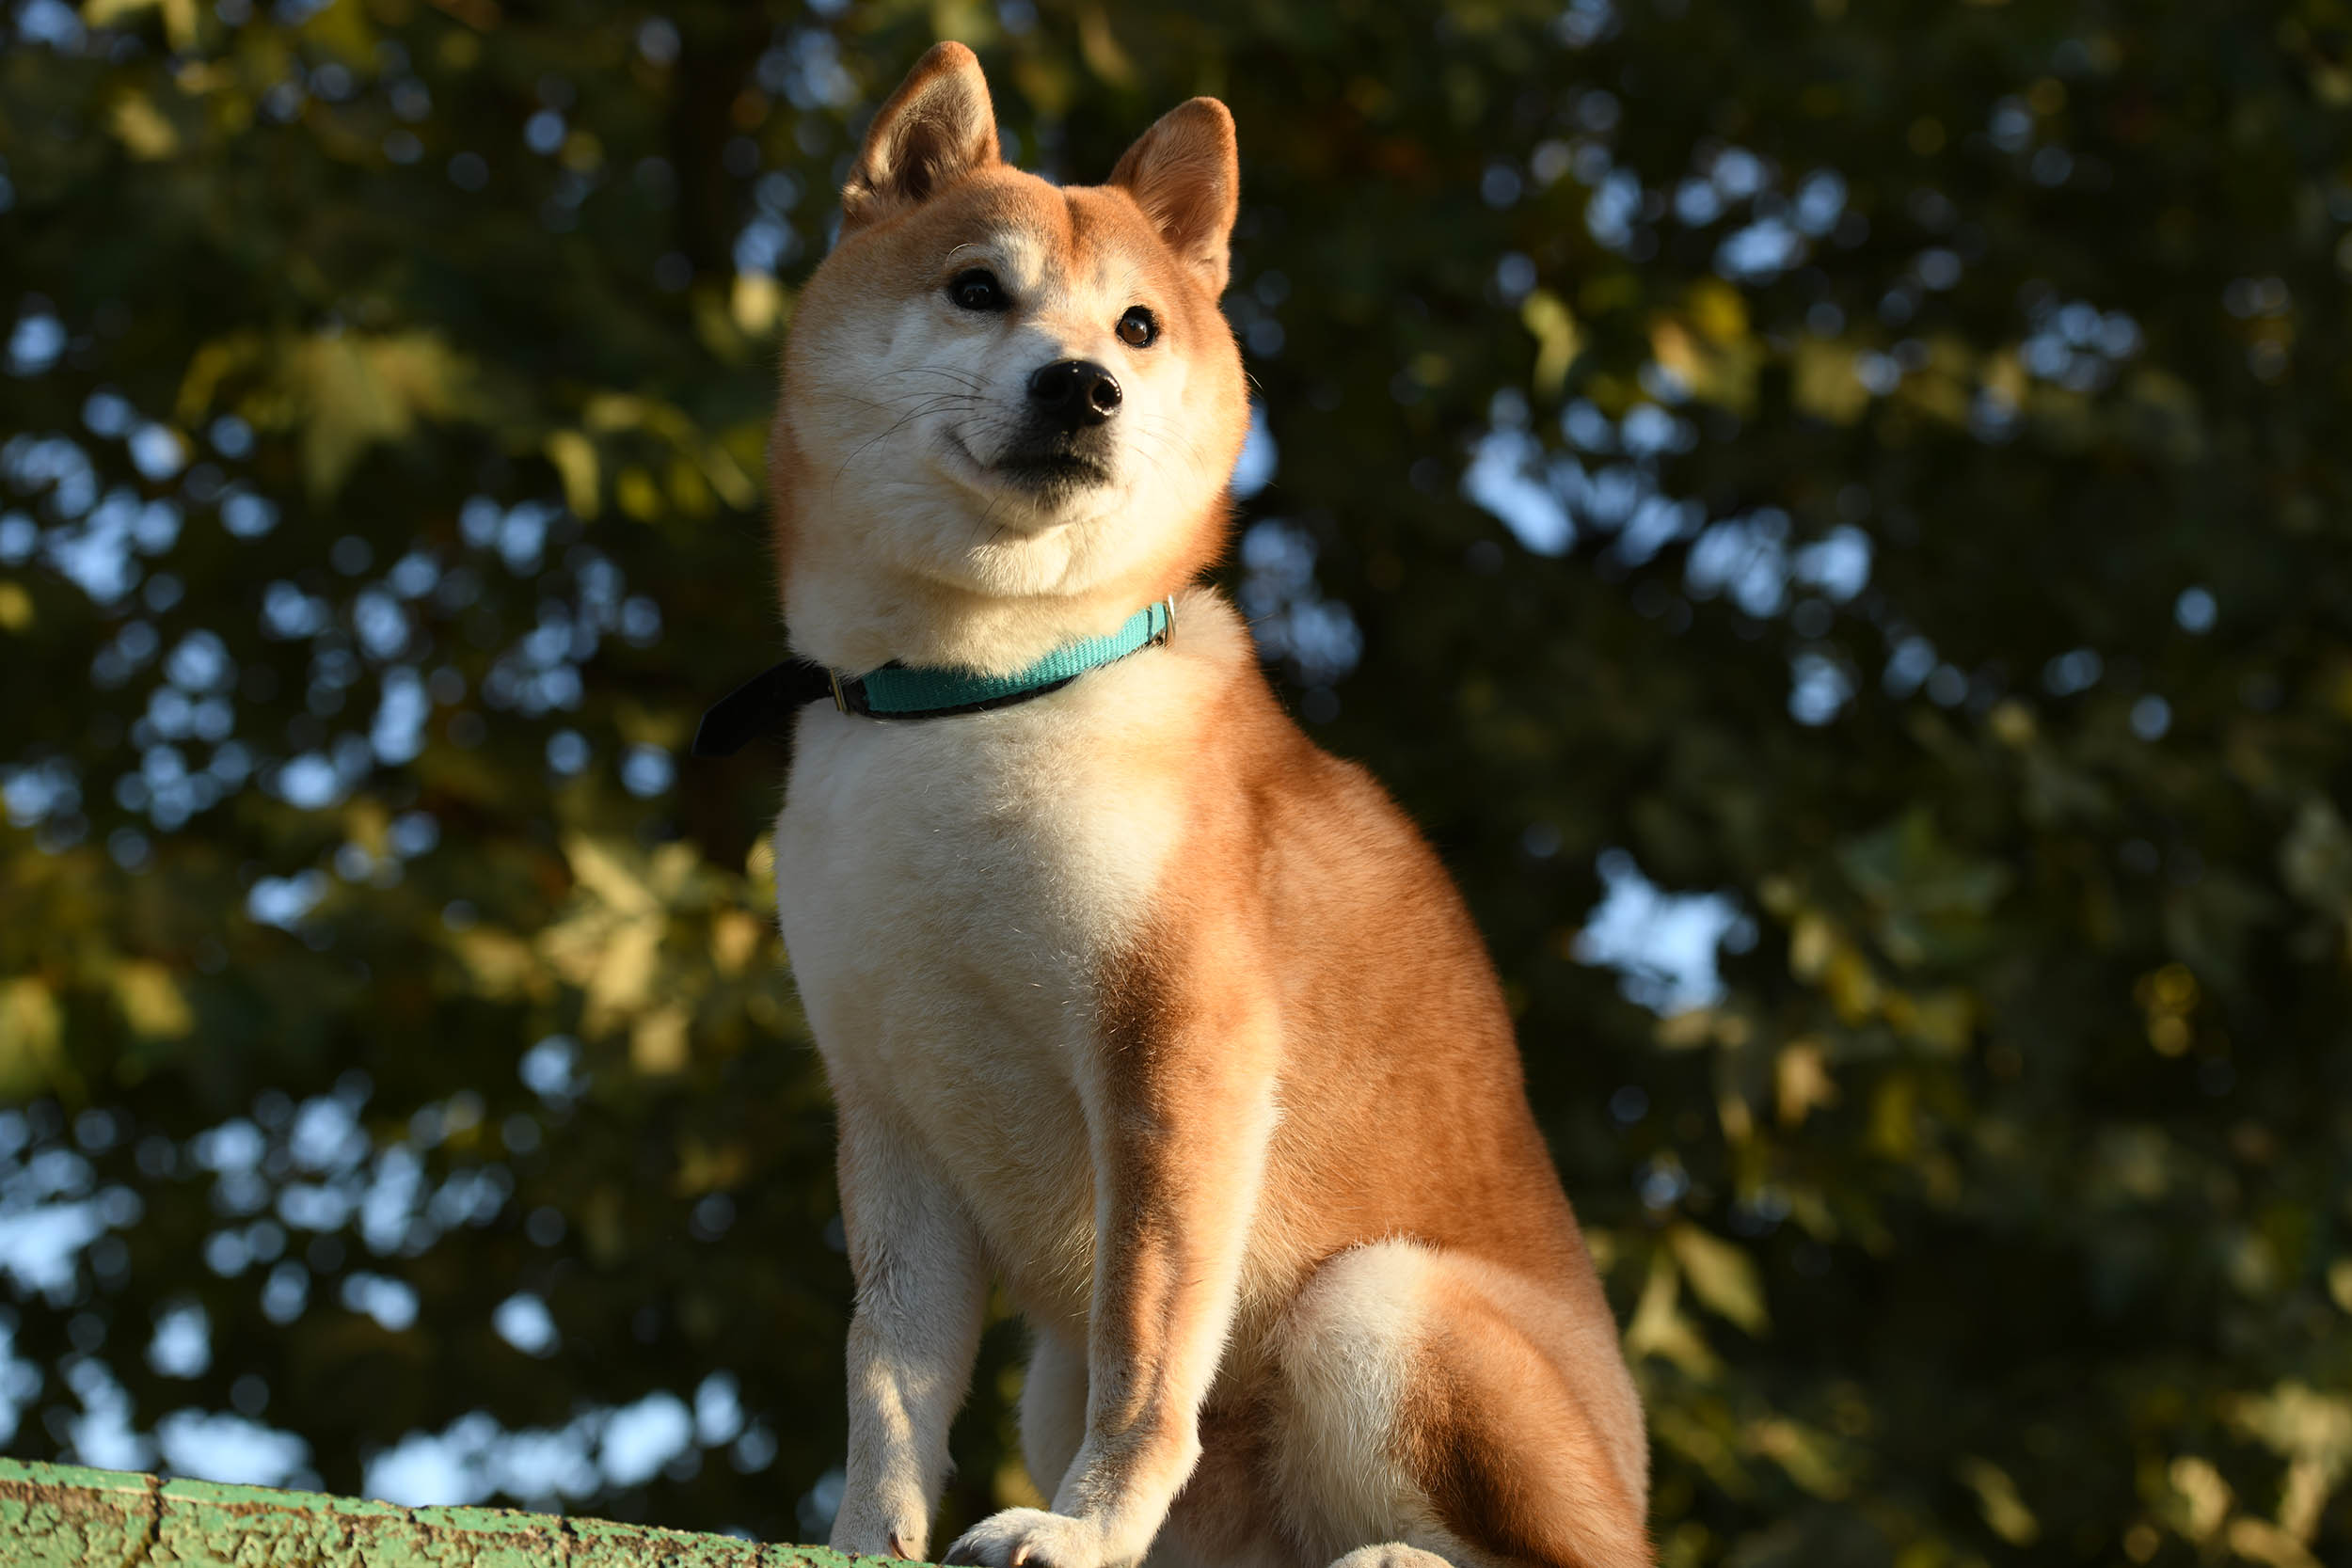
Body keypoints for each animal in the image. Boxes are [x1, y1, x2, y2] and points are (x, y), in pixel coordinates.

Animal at [762, 46, 1646, 1568]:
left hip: (1376, 1305)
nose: (1081, 387)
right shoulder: (888, 1108)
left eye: (1137, 326)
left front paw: (1081, 1531)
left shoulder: (1176, 1052)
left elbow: (1145, 1348)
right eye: (975, 289)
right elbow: (889, 1380)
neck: (978, 695)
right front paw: (864, 1538)